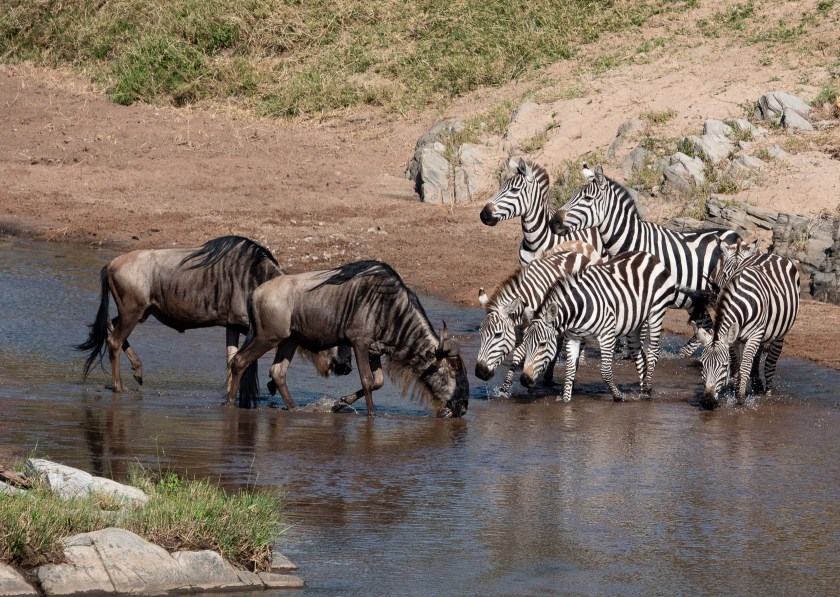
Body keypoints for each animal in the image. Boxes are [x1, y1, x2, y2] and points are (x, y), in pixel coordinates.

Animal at [475, 241, 602, 392]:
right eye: (480, 333)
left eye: (498, 335)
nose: (480, 372)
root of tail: (578, 254)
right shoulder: (521, 331)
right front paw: (505, 389)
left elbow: (519, 355)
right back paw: (548, 376)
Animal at [518, 250, 679, 402]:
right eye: (525, 343)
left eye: (542, 344)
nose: (524, 380)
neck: (578, 309)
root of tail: (649, 255)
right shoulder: (573, 338)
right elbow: (569, 371)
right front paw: (566, 401)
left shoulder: (607, 336)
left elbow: (605, 372)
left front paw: (618, 396)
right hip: (634, 322)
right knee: (639, 354)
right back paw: (643, 391)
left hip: (656, 312)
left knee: (653, 351)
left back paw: (647, 389)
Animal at [694, 247, 800, 409]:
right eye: (702, 364)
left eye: (724, 366)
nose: (707, 402)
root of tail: (772, 254)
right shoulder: (734, 339)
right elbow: (737, 366)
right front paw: (734, 390)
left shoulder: (754, 335)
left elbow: (744, 367)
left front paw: (740, 399)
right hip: (762, 334)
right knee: (757, 358)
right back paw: (756, 384)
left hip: (779, 333)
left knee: (770, 364)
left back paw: (767, 394)